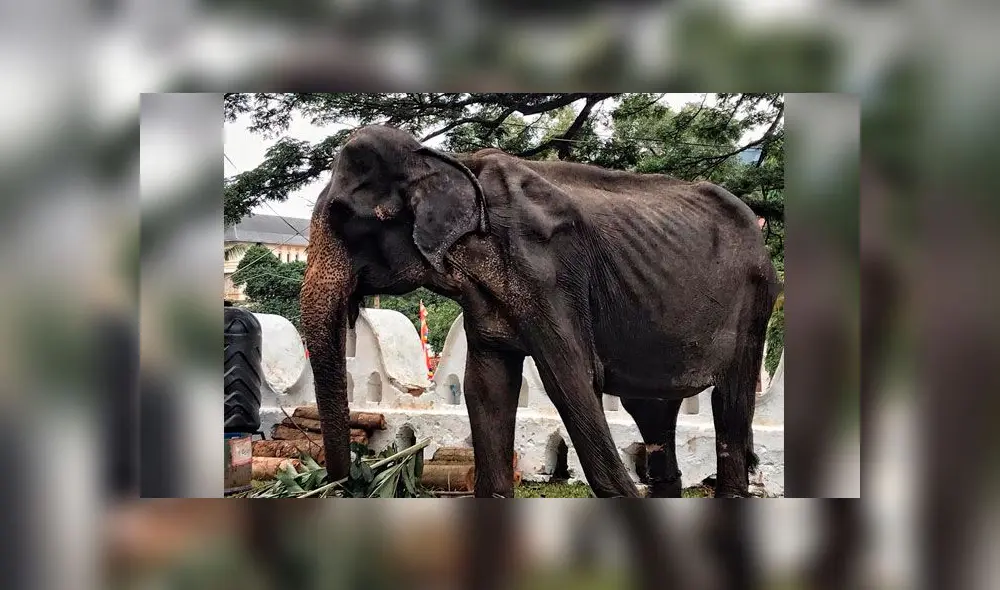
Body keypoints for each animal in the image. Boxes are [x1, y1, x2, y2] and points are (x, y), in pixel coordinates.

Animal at [300, 125, 780, 498]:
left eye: (342, 217)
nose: (342, 481)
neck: (453, 162)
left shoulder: (549, 271)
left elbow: (571, 380)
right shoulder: (485, 296)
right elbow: (486, 387)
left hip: (755, 302)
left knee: (730, 400)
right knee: (652, 409)